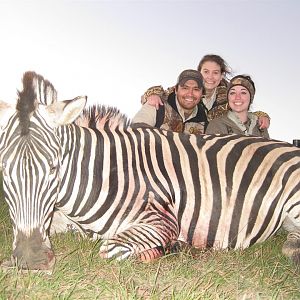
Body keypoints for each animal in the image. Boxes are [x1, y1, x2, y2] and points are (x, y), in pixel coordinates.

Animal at [0, 71, 298, 272]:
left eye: (54, 167)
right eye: (3, 169)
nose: (31, 260)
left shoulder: (162, 220)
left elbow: (110, 249)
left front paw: (171, 248)